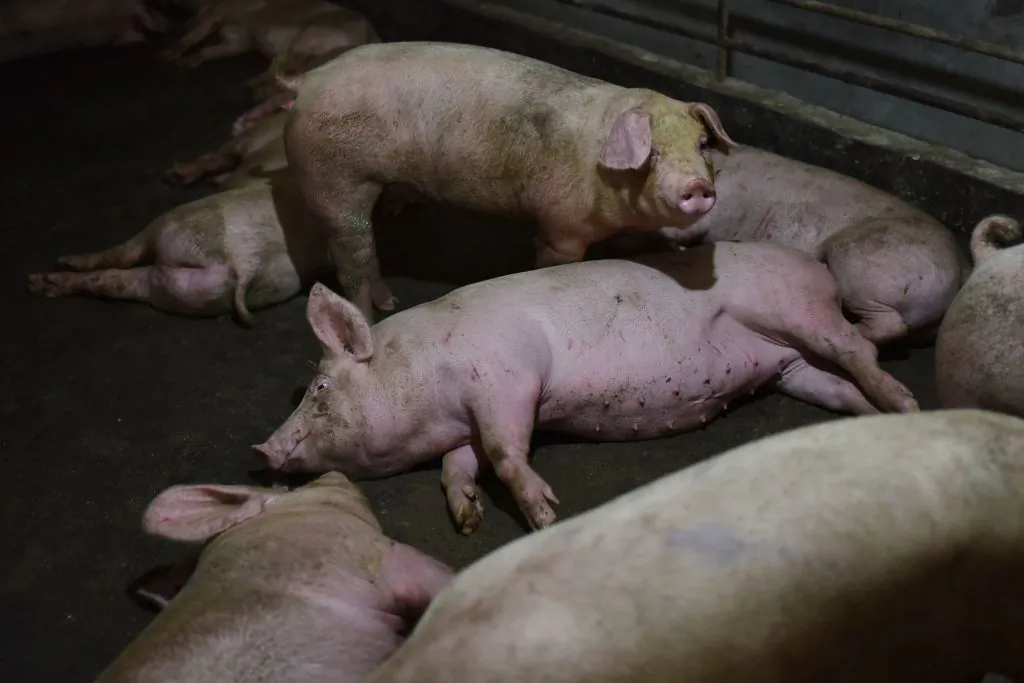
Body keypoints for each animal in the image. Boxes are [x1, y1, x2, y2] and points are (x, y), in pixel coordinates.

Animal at [27, 177, 329, 325]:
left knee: (116, 266)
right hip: (186, 281)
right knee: (119, 269)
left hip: (172, 255)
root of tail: (245, 256)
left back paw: (44, 279)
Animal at [254, 242, 918, 535]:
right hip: (791, 368)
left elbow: (506, 451)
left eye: (319, 387)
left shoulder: (507, 380)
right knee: (841, 381)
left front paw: (545, 516)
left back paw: (905, 403)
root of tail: (818, 268)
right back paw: (877, 417)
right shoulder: (468, 419)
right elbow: (456, 463)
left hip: (794, 310)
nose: (263, 450)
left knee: (859, 346)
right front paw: (467, 518)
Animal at [282, 41, 739, 321]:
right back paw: (374, 313)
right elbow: (554, 258)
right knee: (350, 256)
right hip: (335, 180)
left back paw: (387, 299)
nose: (697, 186)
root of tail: (305, 81)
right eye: (653, 153)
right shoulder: (559, 225)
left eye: (702, 145)